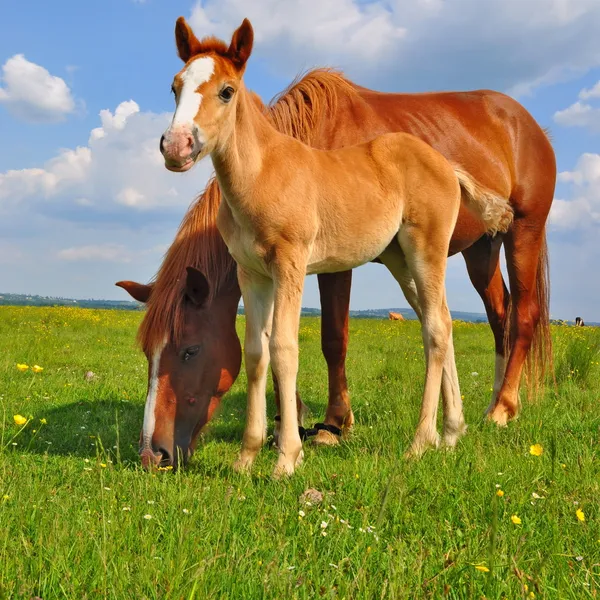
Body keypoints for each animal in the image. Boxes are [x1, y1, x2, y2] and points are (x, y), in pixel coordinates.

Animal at [119, 23, 556, 472]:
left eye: (190, 350)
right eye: (175, 87)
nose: (176, 146)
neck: (266, 171)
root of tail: (447, 165)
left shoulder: (297, 264)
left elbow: (295, 345)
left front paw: (295, 451)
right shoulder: (253, 273)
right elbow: (257, 352)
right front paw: (249, 455)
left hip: (492, 237)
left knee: (476, 322)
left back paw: (451, 429)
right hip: (452, 254)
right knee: (463, 319)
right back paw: (455, 430)